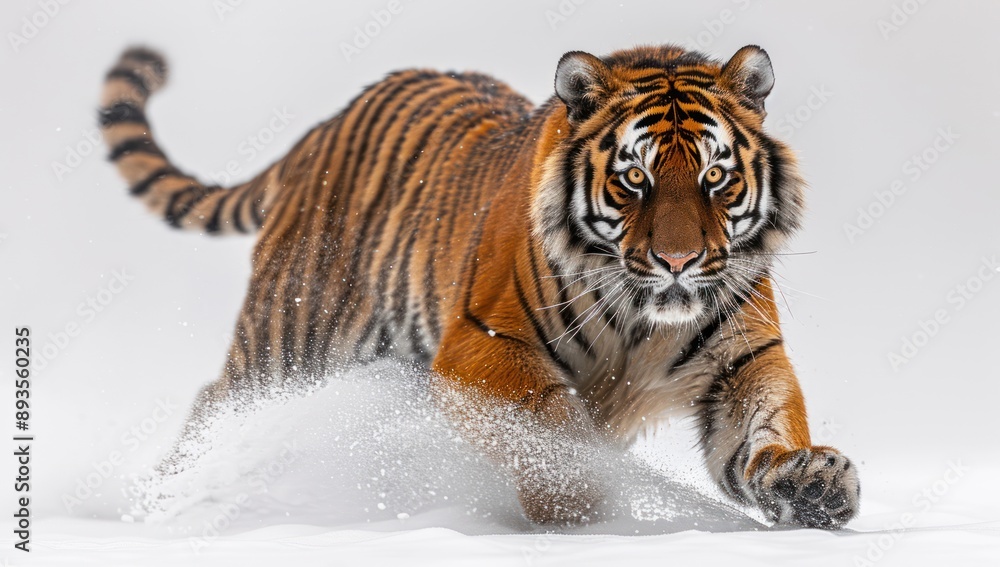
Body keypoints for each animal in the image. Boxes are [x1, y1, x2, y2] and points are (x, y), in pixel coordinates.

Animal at [99, 44, 859, 529]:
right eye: (635, 177)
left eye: (715, 176)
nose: (678, 260)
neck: (644, 317)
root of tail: (319, 130)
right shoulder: (482, 341)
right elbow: (548, 422)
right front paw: (581, 504)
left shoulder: (743, 358)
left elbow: (765, 426)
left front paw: (810, 482)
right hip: (290, 337)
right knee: (216, 402)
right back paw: (160, 502)